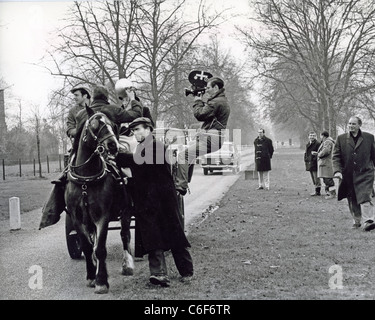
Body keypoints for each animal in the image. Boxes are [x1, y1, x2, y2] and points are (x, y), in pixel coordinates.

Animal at [65, 106, 134, 294]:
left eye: (112, 125)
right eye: (94, 125)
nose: (113, 145)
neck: (86, 181)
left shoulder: (102, 217)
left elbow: (100, 248)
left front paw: (101, 281)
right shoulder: (77, 218)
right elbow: (88, 247)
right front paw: (91, 276)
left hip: (126, 211)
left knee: (125, 234)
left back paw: (128, 264)